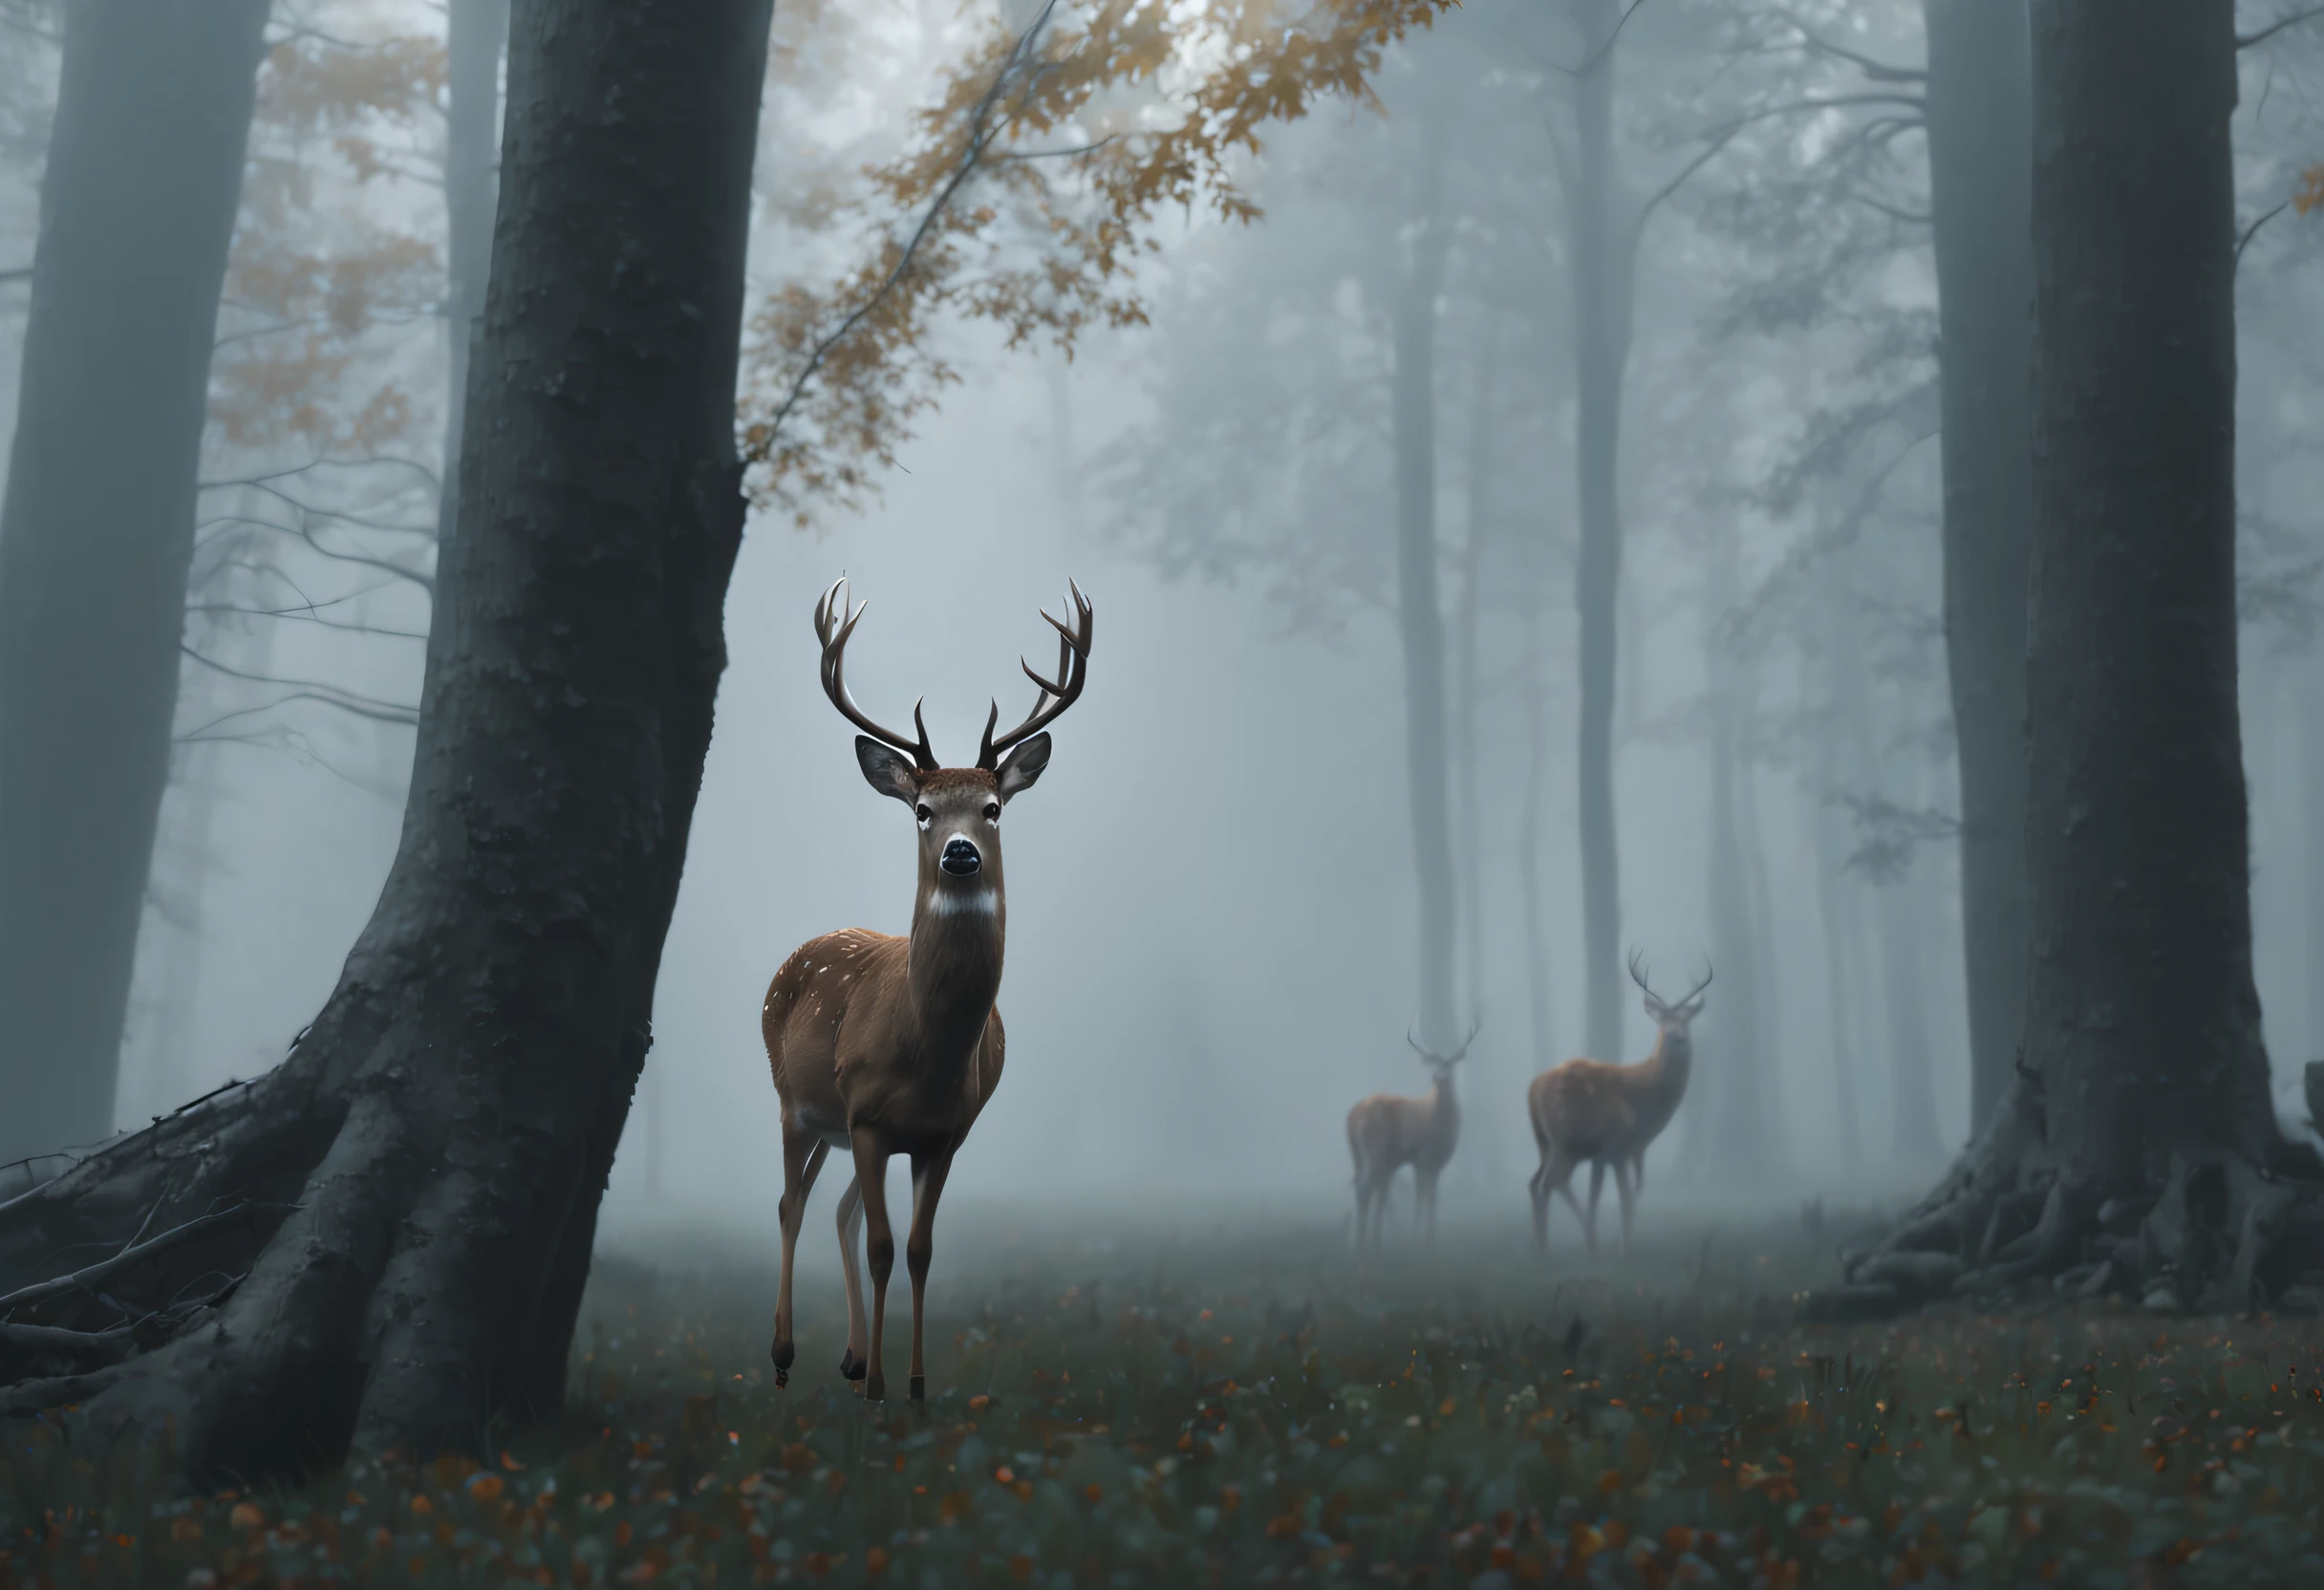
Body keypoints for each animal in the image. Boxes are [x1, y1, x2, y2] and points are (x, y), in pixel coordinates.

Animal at [762, 576, 1087, 1394]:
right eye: (921, 809)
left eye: (994, 807)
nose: (961, 853)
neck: (926, 1053)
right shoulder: (870, 1118)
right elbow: (882, 1247)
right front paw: (882, 1386)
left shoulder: (945, 1134)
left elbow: (916, 1251)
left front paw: (908, 1385)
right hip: (795, 1100)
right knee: (791, 1203)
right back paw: (784, 1355)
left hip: (838, 1128)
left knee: (837, 1209)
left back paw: (847, 1358)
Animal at [1347, 1022, 1487, 1245]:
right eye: (1432, 1063)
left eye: (1450, 1064)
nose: (1439, 1076)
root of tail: (1355, 1116)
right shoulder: (1422, 1155)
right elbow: (1421, 1194)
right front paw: (1419, 1235)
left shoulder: (1435, 1161)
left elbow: (1432, 1195)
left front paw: (1429, 1235)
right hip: (1375, 1151)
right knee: (1364, 1187)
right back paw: (1362, 1240)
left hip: (1359, 1155)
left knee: (1362, 1186)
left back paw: (1364, 1239)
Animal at [1524, 948, 1710, 1264]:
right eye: (1664, 1022)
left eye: (1687, 1020)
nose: (1679, 1036)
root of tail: (1533, 1089)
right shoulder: (1615, 1145)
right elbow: (1623, 1197)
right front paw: (1622, 1247)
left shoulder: (1611, 1153)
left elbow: (1608, 1195)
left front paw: (1613, 1243)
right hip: (1565, 1140)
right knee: (1552, 1182)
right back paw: (1558, 1245)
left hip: (1544, 1143)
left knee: (1535, 1182)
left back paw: (1543, 1244)